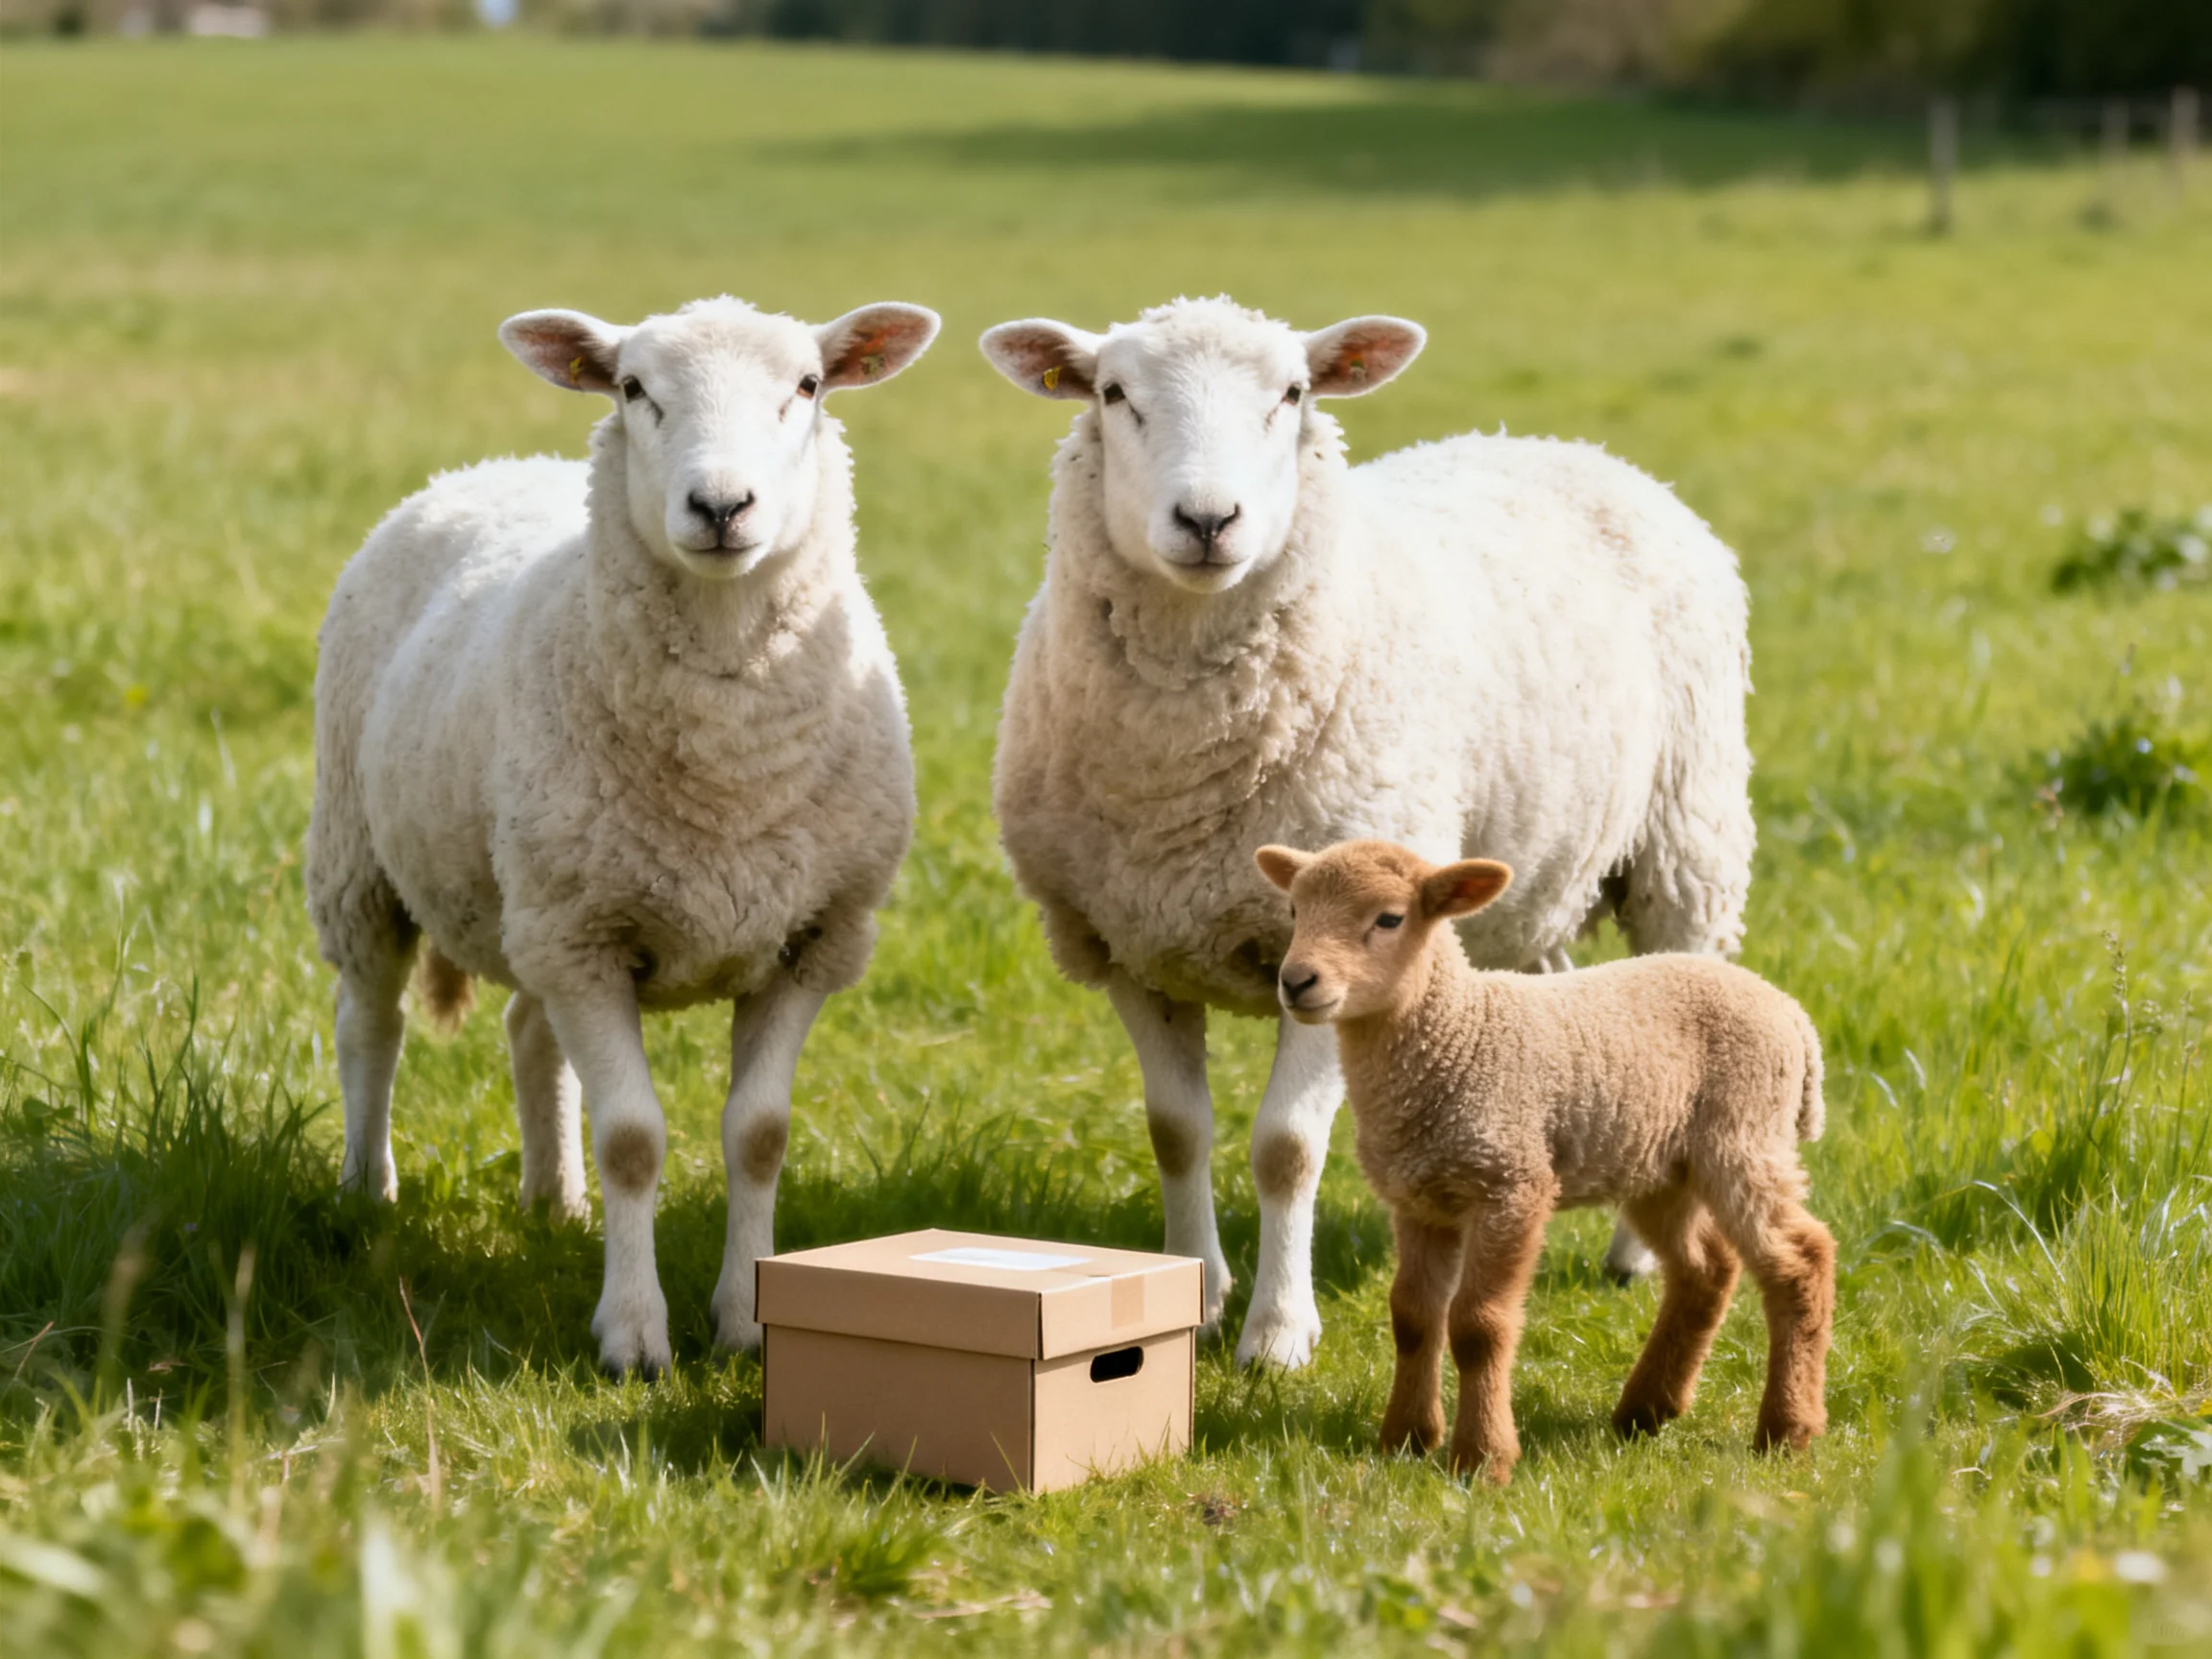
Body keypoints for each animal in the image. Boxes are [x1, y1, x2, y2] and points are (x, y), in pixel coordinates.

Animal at [306, 294, 940, 1375]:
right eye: (635, 389)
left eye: (808, 386)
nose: (721, 507)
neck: (729, 766)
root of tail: (492, 466)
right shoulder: (584, 940)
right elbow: (634, 1141)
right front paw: (635, 1336)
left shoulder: (810, 939)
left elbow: (759, 1134)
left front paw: (744, 1323)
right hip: (367, 865)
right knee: (370, 1027)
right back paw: (367, 1191)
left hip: (535, 896)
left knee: (528, 1033)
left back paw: (552, 1203)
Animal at [979, 297, 1756, 1367]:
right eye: (1113, 393)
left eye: (1293, 392)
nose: (1208, 521)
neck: (1183, 768)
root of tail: (1564, 445)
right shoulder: (1128, 942)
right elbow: (1176, 1131)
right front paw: (1197, 1294)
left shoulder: (1336, 947)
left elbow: (1286, 1148)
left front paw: (1277, 1333)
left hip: (1686, 844)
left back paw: (1635, 1256)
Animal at [1254, 838, 1833, 1483]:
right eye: (1296, 911)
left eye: (1389, 919)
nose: (1296, 981)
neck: (1460, 1030)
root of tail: (1790, 1012)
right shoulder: (1421, 1198)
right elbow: (1412, 1317)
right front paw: (1405, 1439)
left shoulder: (1512, 1183)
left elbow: (1477, 1325)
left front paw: (1482, 1459)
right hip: (1661, 1166)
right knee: (1705, 1268)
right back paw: (1646, 1410)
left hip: (1744, 1136)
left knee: (1800, 1259)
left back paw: (1786, 1429)